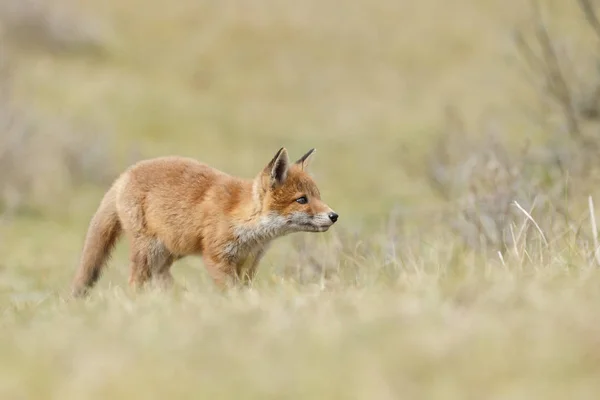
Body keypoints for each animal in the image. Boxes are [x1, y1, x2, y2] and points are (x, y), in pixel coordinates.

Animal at [70, 147, 338, 296]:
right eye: (301, 200)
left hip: (171, 250)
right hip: (148, 250)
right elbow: (231, 290)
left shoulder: (249, 263)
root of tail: (125, 174)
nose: (334, 216)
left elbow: (245, 290)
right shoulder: (217, 257)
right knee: (136, 282)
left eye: (318, 196)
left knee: (161, 277)